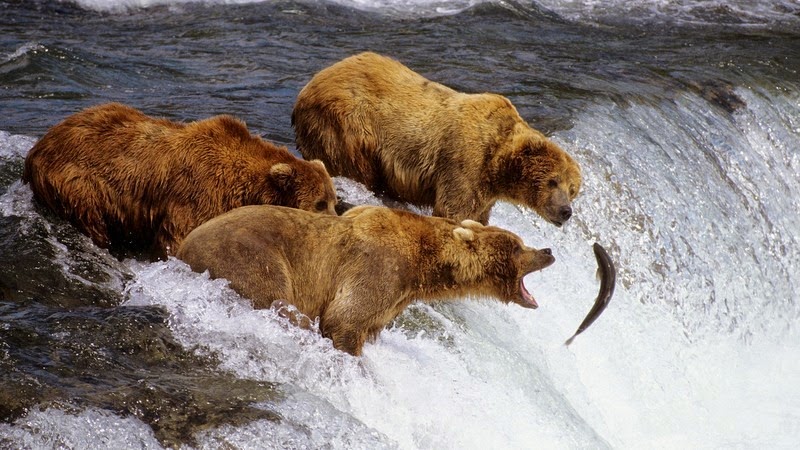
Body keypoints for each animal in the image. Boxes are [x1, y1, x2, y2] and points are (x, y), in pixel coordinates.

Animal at [23, 101, 338, 256]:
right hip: (78, 181)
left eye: (334, 200)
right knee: (91, 218)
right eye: (319, 203)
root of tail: (37, 147)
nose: (335, 222)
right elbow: (178, 238)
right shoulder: (198, 193)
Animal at [177, 203, 552, 356]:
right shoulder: (378, 268)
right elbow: (344, 319)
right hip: (251, 258)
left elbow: (368, 325)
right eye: (517, 246)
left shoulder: (394, 298)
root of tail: (181, 249)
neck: (423, 264)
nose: (548, 250)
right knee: (279, 302)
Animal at [294, 52, 580, 227]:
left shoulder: (486, 191)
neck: (498, 164)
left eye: (572, 190)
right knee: (353, 165)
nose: (566, 211)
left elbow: (478, 216)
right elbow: (454, 210)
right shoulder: (464, 162)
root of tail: (310, 84)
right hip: (347, 124)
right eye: (553, 181)